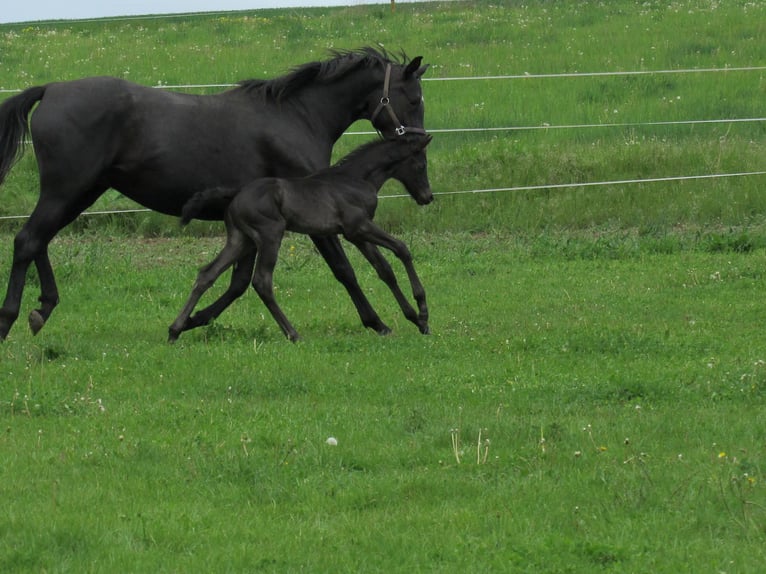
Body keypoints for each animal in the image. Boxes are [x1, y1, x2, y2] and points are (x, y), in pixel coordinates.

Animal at [168, 133, 433, 343]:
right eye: (421, 165)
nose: (427, 197)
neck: (355, 179)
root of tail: (236, 193)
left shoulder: (356, 234)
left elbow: (384, 269)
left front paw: (413, 320)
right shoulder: (358, 227)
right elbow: (402, 248)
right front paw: (422, 311)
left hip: (240, 239)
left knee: (207, 274)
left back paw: (175, 330)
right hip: (269, 235)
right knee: (262, 281)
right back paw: (293, 333)